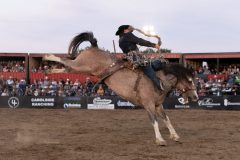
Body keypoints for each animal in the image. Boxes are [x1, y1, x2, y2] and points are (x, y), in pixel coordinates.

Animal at [43, 31, 199, 146]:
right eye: (190, 80)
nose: (196, 97)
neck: (159, 80)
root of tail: (94, 47)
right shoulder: (148, 104)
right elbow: (154, 120)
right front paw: (160, 140)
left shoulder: (158, 105)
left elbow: (167, 119)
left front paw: (175, 136)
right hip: (81, 66)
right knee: (66, 61)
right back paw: (47, 56)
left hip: (81, 68)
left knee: (67, 67)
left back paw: (49, 70)